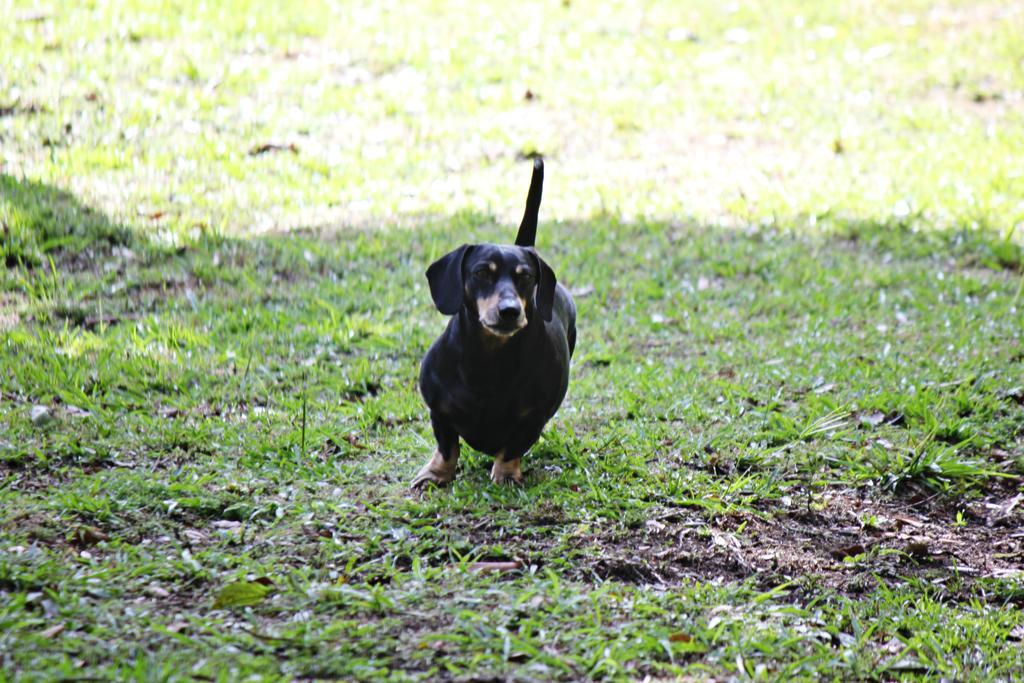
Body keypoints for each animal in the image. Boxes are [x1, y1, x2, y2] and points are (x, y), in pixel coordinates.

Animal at [413, 160, 577, 489]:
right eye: (481, 273)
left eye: (526, 277)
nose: (509, 311)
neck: (488, 361)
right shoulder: (438, 410)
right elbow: (446, 447)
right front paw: (436, 474)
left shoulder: (533, 418)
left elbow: (512, 447)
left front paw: (505, 474)